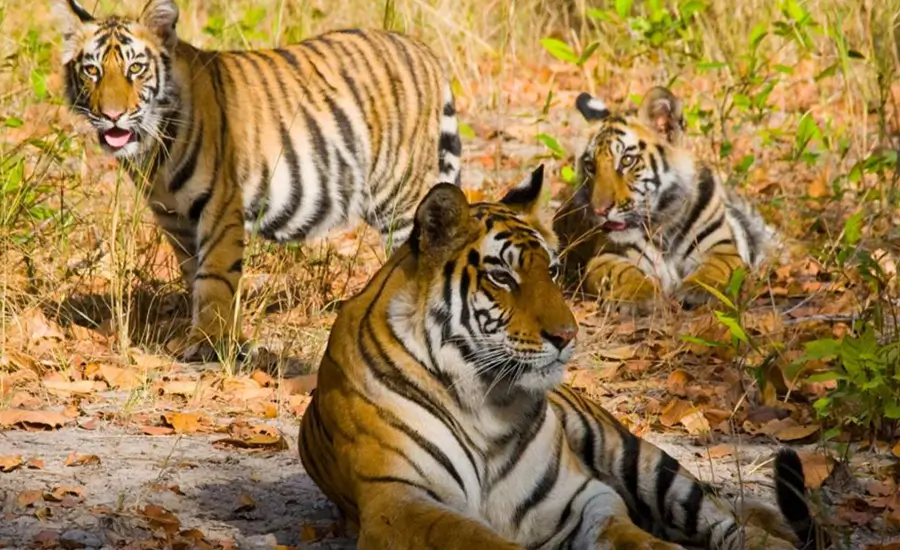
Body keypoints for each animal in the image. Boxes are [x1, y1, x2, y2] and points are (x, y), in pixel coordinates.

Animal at [57, 0, 463, 361]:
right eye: (92, 71)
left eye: (136, 68)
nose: (112, 116)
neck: (153, 147)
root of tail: (422, 49)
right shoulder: (173, 217)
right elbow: (194, 273)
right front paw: (224, 338)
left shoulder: (219, 205)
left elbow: (215, 276)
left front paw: (206, 342)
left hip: (400, 195)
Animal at [298, 164, 823, 550]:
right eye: (502, 277)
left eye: (550, 271)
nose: (568, 335)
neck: (485, 402)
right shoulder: (401, 501)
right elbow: (480, 540)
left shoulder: (580, 497)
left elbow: (634, 537)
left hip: (642, 459)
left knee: (728, 522)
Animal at [552, 86, 781, 309]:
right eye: (591, 167)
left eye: (627, 160)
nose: (600, 210)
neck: (664, 224)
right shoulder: (606, 256)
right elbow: (622, 273)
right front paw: (640, 296)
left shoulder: (722, 246)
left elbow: (716, 267)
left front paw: (698, 291)